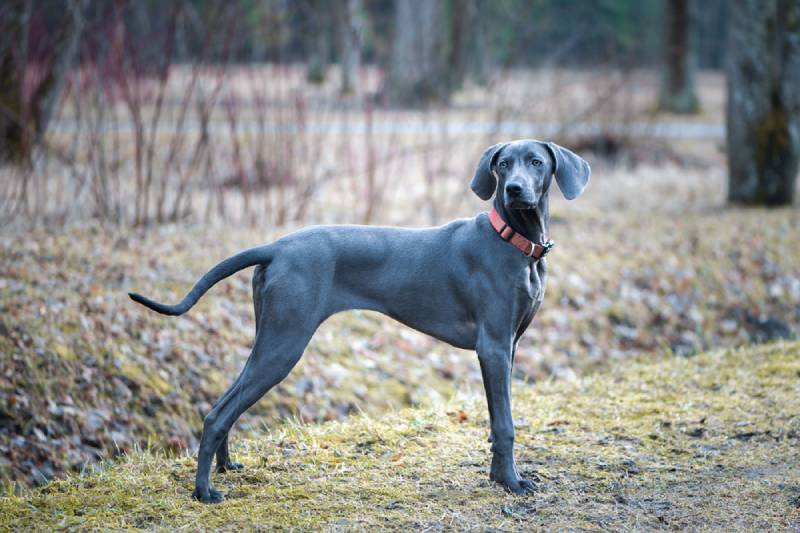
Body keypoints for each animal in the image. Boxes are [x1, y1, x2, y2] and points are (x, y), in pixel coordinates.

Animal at [130, 139, 588, 500]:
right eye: (503, 164)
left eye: (536, 162)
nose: (514, 189)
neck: (513, 242)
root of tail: (276, 246)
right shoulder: (493, 347)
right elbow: (506, 423)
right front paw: (511, 482)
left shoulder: (508, 347)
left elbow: (496, 421)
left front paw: (497, 477)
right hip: (285, 342)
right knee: (218, 414)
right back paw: (203, 490)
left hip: (270, 335)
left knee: (227, 401)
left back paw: (226, 467)